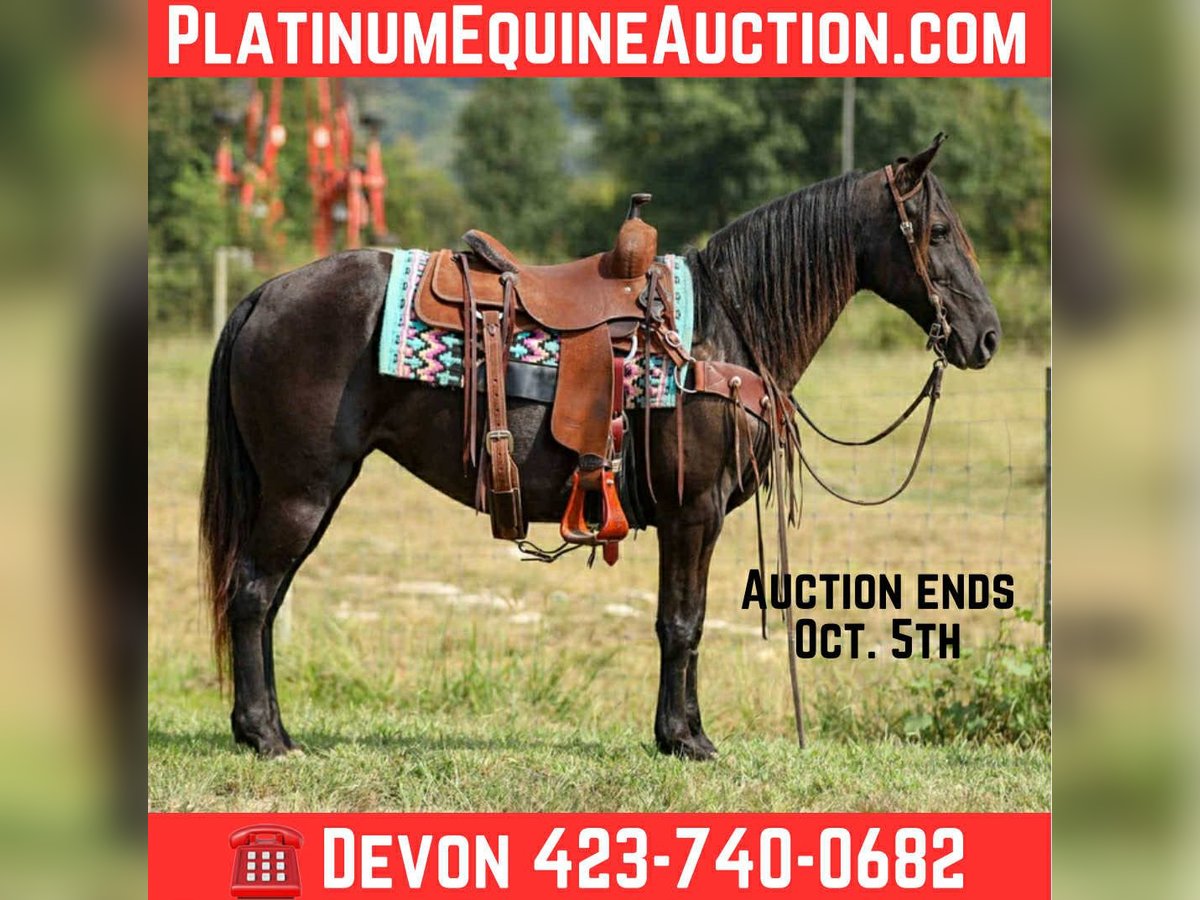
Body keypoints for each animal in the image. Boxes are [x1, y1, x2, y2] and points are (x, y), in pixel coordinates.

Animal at [200, 135, 1001, 760]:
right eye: (936, 231)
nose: (986, 337)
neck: (722, 329)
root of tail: (264, 294)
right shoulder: (693, 513)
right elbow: (682, 623)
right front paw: (686, 739)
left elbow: (683, 623)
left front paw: (679, 733)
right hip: (302, 492)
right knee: (254, 594)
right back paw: (266, 736)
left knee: (266, 598)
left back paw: (269, 730)